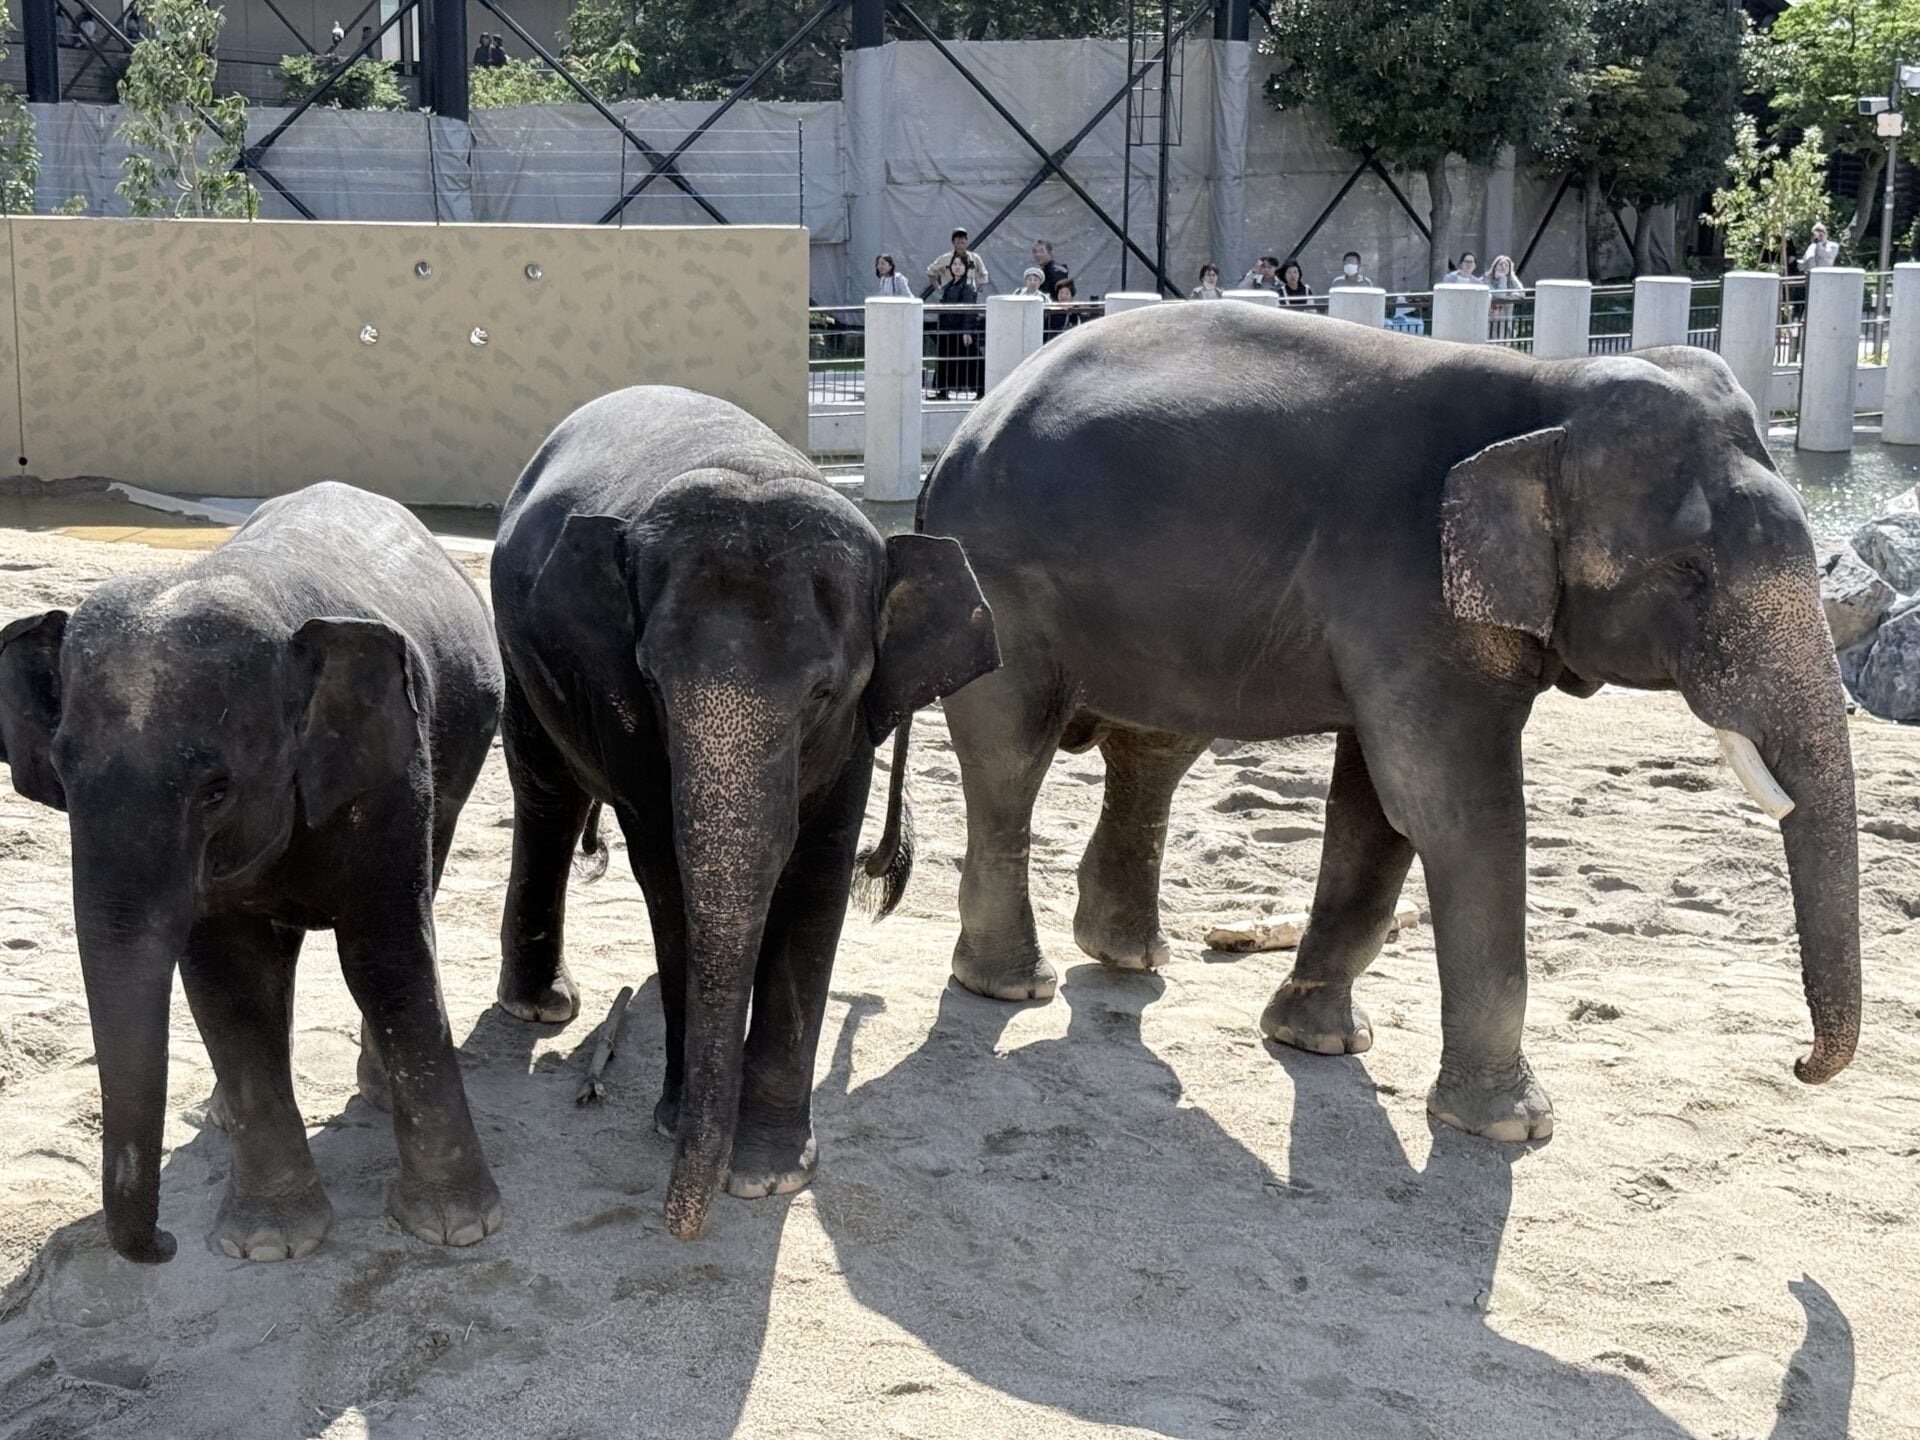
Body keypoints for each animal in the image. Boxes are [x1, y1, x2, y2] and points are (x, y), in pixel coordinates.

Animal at [0, 482, 505, 1263]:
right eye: (62, 774)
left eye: (215, 790)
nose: (165, 1244)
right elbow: (229, 982)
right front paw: (268, 1245)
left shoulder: (395, 775)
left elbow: (385, 956)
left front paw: (457, 1228)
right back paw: (216, 1115)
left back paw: (375, 1096)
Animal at [489, 385, 998, 1240]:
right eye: (653, 685)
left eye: (824, 692)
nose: (678, 1226)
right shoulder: (623, 708)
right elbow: (666, 877)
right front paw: (678, 1127)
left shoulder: (854, 735)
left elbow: (818, 878)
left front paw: (766, 1175)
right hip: (517, 651)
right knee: (547, 792)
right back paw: (542, 1008)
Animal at [906, 302, 1858, 1143]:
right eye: (1691, 572)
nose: (1799, 1065)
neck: (1547, 392)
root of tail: (956, 438)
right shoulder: (1407, 589)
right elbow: (1453, 808)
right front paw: (1511, 1126)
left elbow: (1381, 806)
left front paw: (1320, 1041)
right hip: (1001, 580)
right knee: (1011, 755)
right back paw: (1011, 987)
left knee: (1157, 748)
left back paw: (1129, 957)